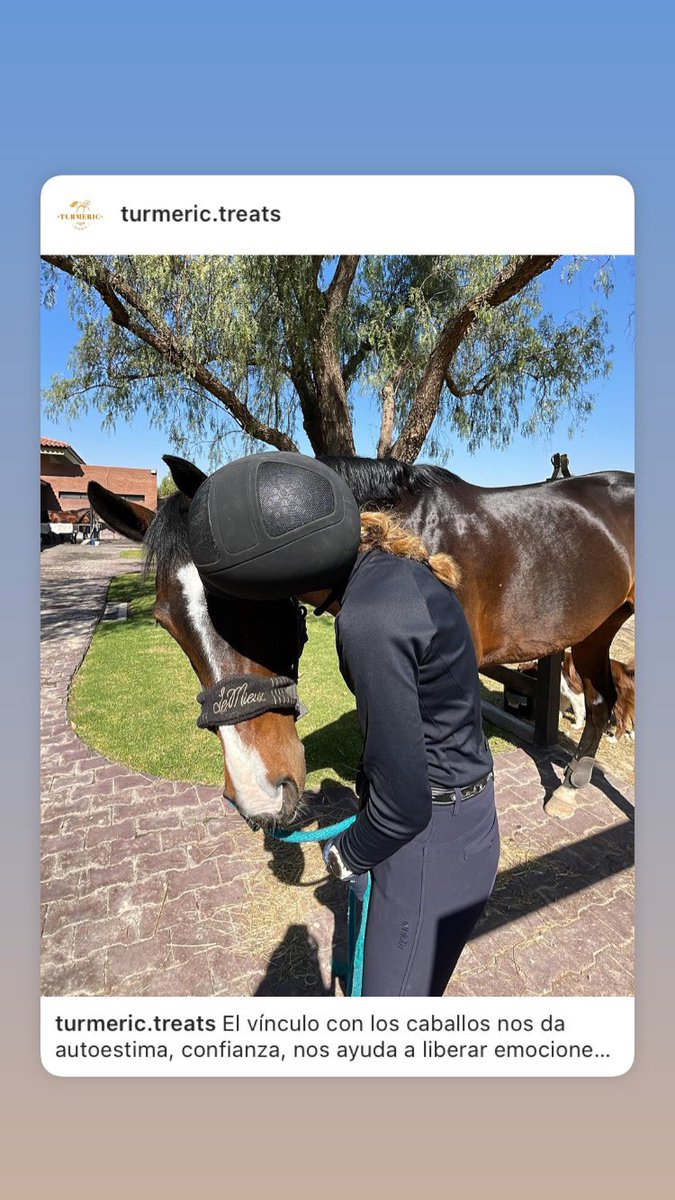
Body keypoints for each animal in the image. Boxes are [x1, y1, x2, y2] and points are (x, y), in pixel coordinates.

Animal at [89, 453, 634, 823]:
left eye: (245, 602)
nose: (257, 796)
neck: (402, 539)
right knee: (601, 702)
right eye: (165, 622)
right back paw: (571, 788)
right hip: (597, 629)